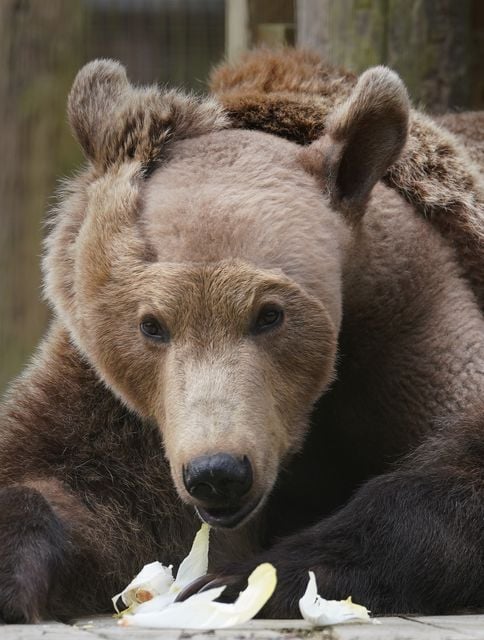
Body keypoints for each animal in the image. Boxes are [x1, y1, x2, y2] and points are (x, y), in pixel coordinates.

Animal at [0, 51, 484, 624]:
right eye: (151, 324)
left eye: (269, 315)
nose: (218, 472)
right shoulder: (114, 399)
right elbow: (74, 480)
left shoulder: (415, 321)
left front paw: (240, 580)